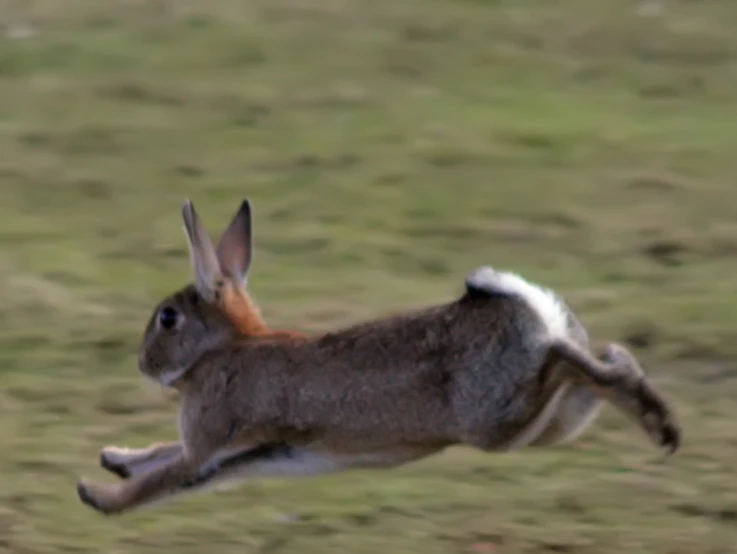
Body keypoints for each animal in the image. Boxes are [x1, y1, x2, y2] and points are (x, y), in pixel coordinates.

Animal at [76, 197, 680, 512]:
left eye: (167, 318)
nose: (143, 364)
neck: (227, 348)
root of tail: (531, 314)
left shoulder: (208, 439)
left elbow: (163, 479)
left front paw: (96, 495)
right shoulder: (225, 453)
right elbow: (163, 457)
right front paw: (114, 457)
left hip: (498, 418)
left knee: (570, 364)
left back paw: (660, 423)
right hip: (548, 424)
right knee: (599, 374)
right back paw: (655, 414)